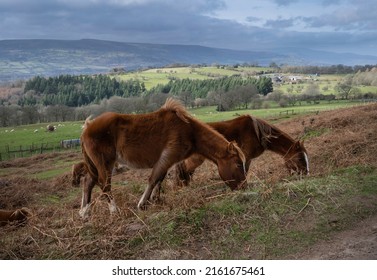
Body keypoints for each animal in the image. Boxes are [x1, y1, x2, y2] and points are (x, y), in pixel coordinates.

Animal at [78, 98, 247, 219]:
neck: (190, 131)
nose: (244, 187)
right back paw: (114, 210)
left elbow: (159, 179)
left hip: (96, 164)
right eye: (238, 164)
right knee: (104, 184)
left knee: (88, 182)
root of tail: (88, 127)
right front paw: (142, 204)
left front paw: (155, 199)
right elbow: (154, 179)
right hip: (105, 163)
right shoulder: (168, 157)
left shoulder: (166, 161)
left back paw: (85, 213)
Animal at [175, 115, 306, 187]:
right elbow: (244, 171)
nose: (306, 174)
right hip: (196, 159)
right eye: (300, 158)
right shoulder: (246, 156)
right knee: (185, 169)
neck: (257, 133)